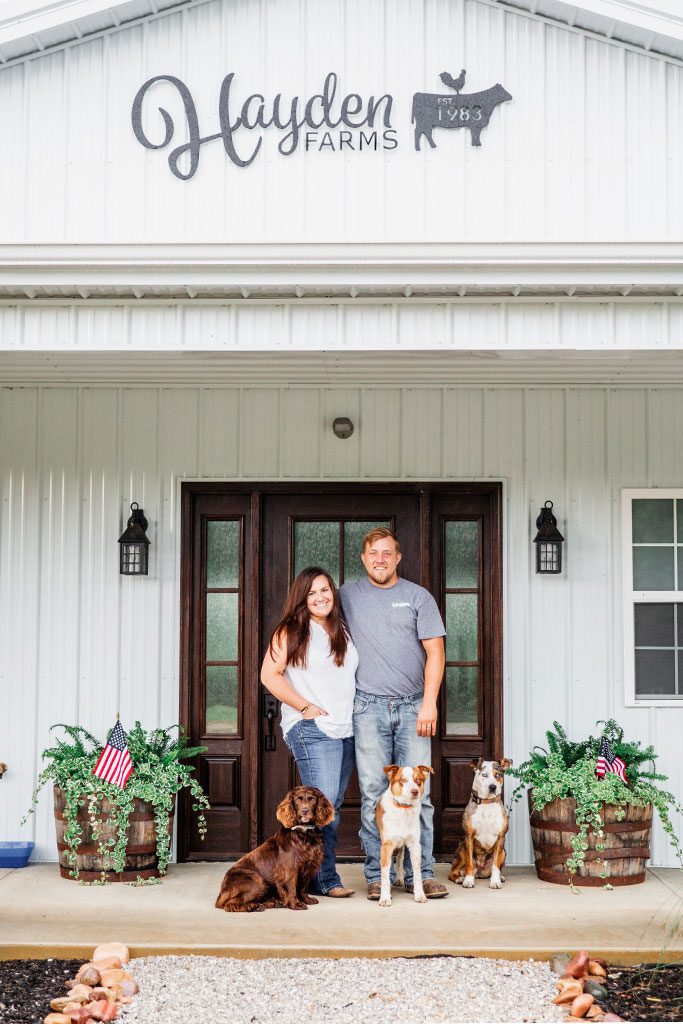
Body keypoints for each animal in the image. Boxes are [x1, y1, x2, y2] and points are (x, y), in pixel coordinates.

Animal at [214, 782, 333, 913]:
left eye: (312, 799)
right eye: (298, 800)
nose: (304, 811)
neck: (305, 834)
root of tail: (222, 892)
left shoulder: (309, 866)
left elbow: (303, 887)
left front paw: (306, 899)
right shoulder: (289, 869)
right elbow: (291, 886)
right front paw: (295, 904)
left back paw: (271, 903)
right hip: (256, 880)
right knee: (229, 904)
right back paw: (252, 906)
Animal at [448, 757, 511, 892]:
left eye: (498, 775)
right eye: (484, 775)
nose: (492, 787)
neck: (487, 803)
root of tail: (480, 872)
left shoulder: (500, 837)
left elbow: (495, 866)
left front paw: (495, 881)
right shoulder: (469, 837)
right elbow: (470, 863)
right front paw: (468, 880)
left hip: (503, 852)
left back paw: (500, 877)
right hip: (461, 848)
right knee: (454, 871)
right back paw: (460, 878)